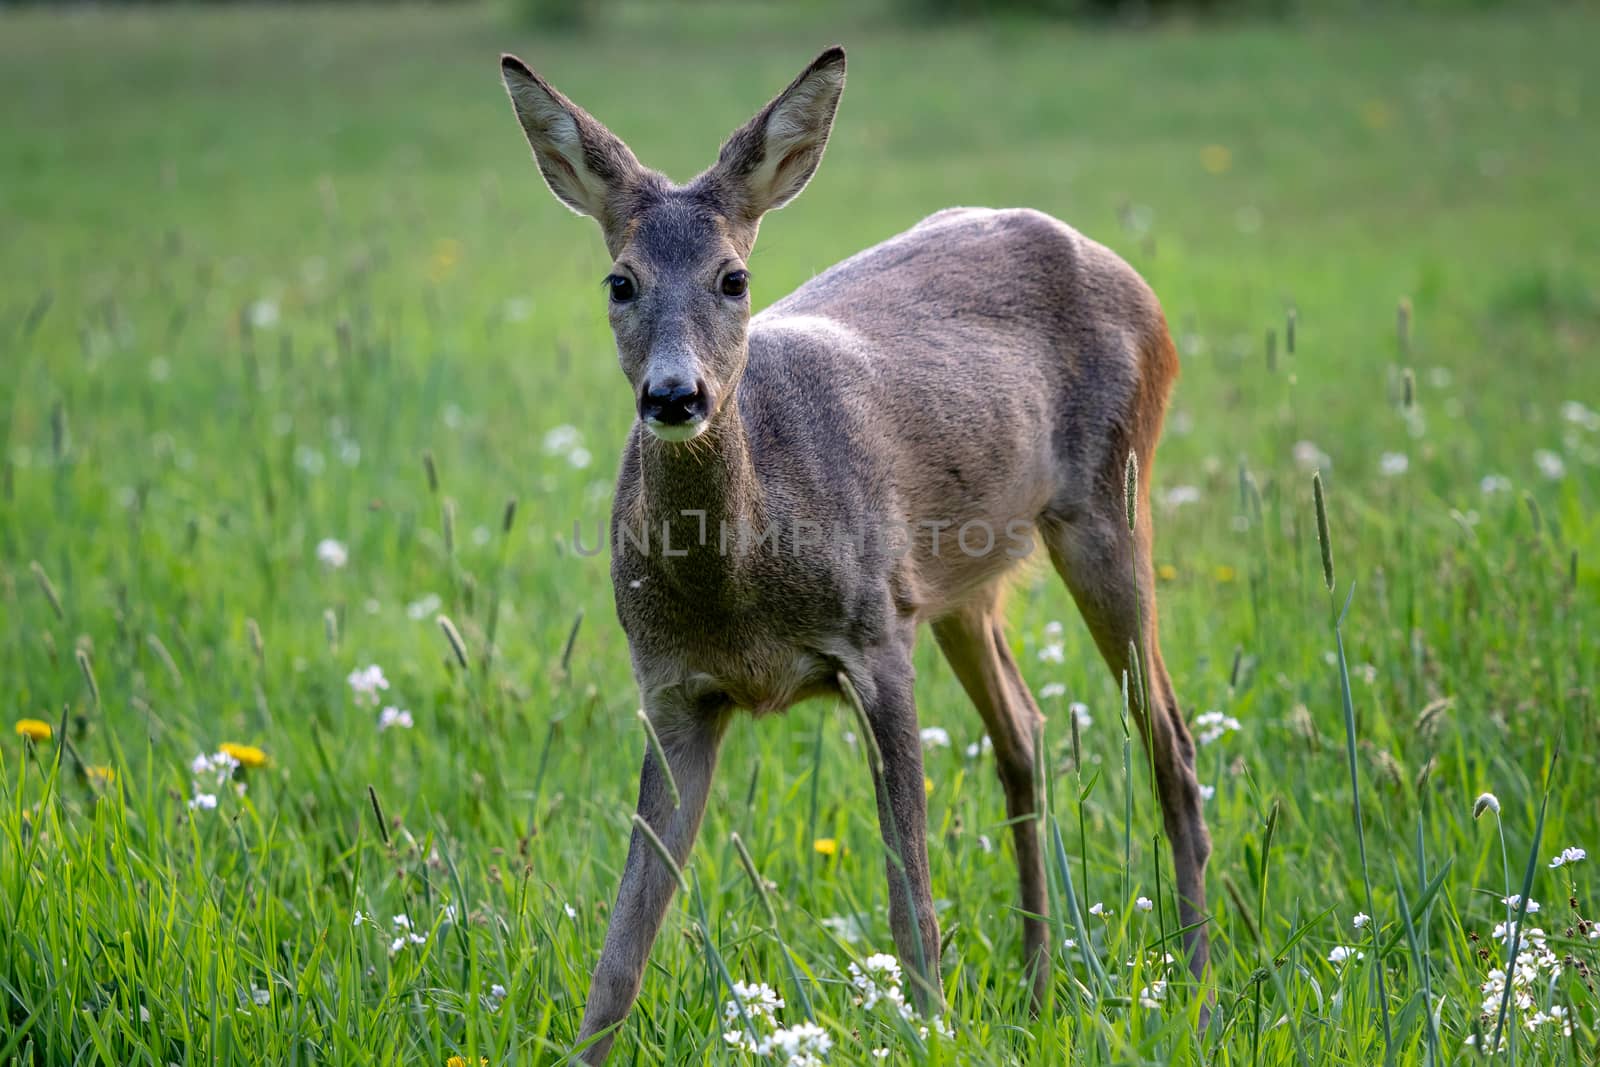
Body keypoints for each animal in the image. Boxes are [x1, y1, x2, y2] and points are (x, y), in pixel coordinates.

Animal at [499, 43, 1209, 1062]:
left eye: (733, 278)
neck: (739, 584)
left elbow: (911, 902)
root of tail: (1136, 283)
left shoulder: (874, 638)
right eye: (619, 282)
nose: (675, 396)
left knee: (1171, 739)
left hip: (1108, 502)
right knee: (1025, 731)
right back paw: (1039, 989)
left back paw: (1197, 989)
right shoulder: (672, 688)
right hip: (959, 584)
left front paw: (931, 1026)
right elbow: (622, 943)